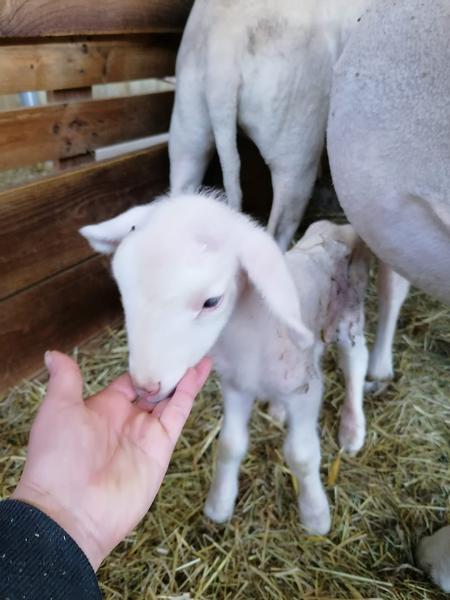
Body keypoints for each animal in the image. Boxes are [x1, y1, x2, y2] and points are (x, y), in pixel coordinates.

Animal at [80, 192, 370, 536]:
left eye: (211, 302)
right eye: (122, 289)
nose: (145, 386)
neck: (248, 335)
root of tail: (337, 227)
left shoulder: (305, 393)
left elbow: (301, 455)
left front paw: (315, 516)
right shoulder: (235, 386)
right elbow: (230, 444)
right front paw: (219, 504)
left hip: (349, 317)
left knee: (356, 362)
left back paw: (352, 429)